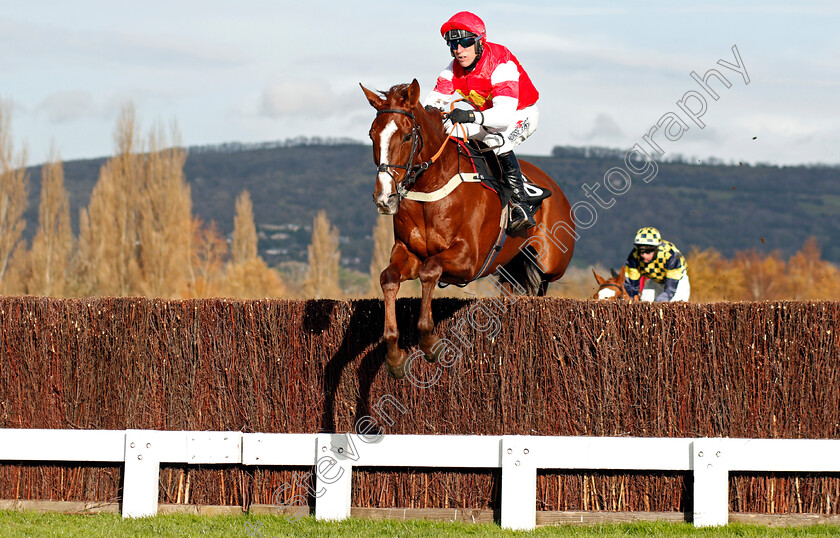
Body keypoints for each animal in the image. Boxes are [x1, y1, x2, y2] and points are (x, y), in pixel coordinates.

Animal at [364, 79, 576, 376]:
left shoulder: (469, 259)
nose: (384, 197)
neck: (431, 187)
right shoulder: (408, 254)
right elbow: (389, 278)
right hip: (510, 271)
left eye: (406, 136)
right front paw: (394, 354)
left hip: (550, 265)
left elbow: (430, 271)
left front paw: (429, 341)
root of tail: (556, 189)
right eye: (372, 135)